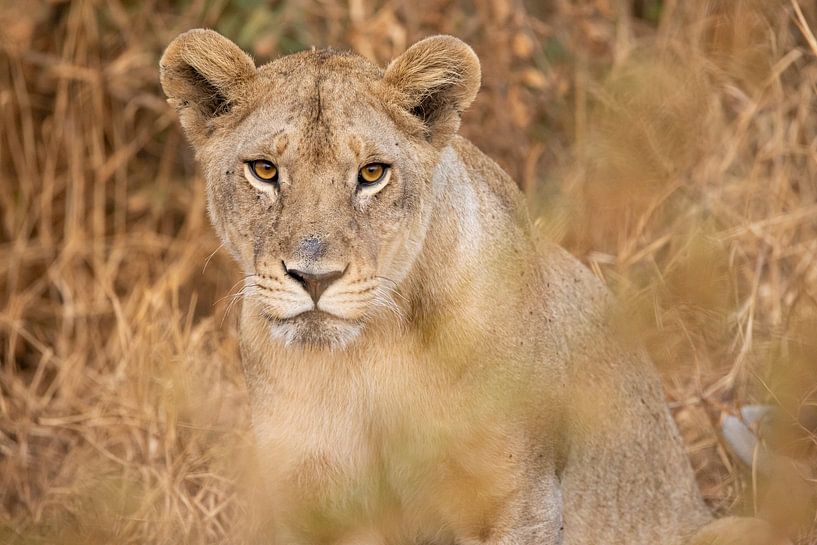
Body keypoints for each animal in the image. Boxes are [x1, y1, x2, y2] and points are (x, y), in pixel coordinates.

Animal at [160, 29, 789, 545]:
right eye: (264, 170)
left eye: (372, 173)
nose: (315, 277)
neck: (370, 357)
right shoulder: (312, 502)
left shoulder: (517, 500)